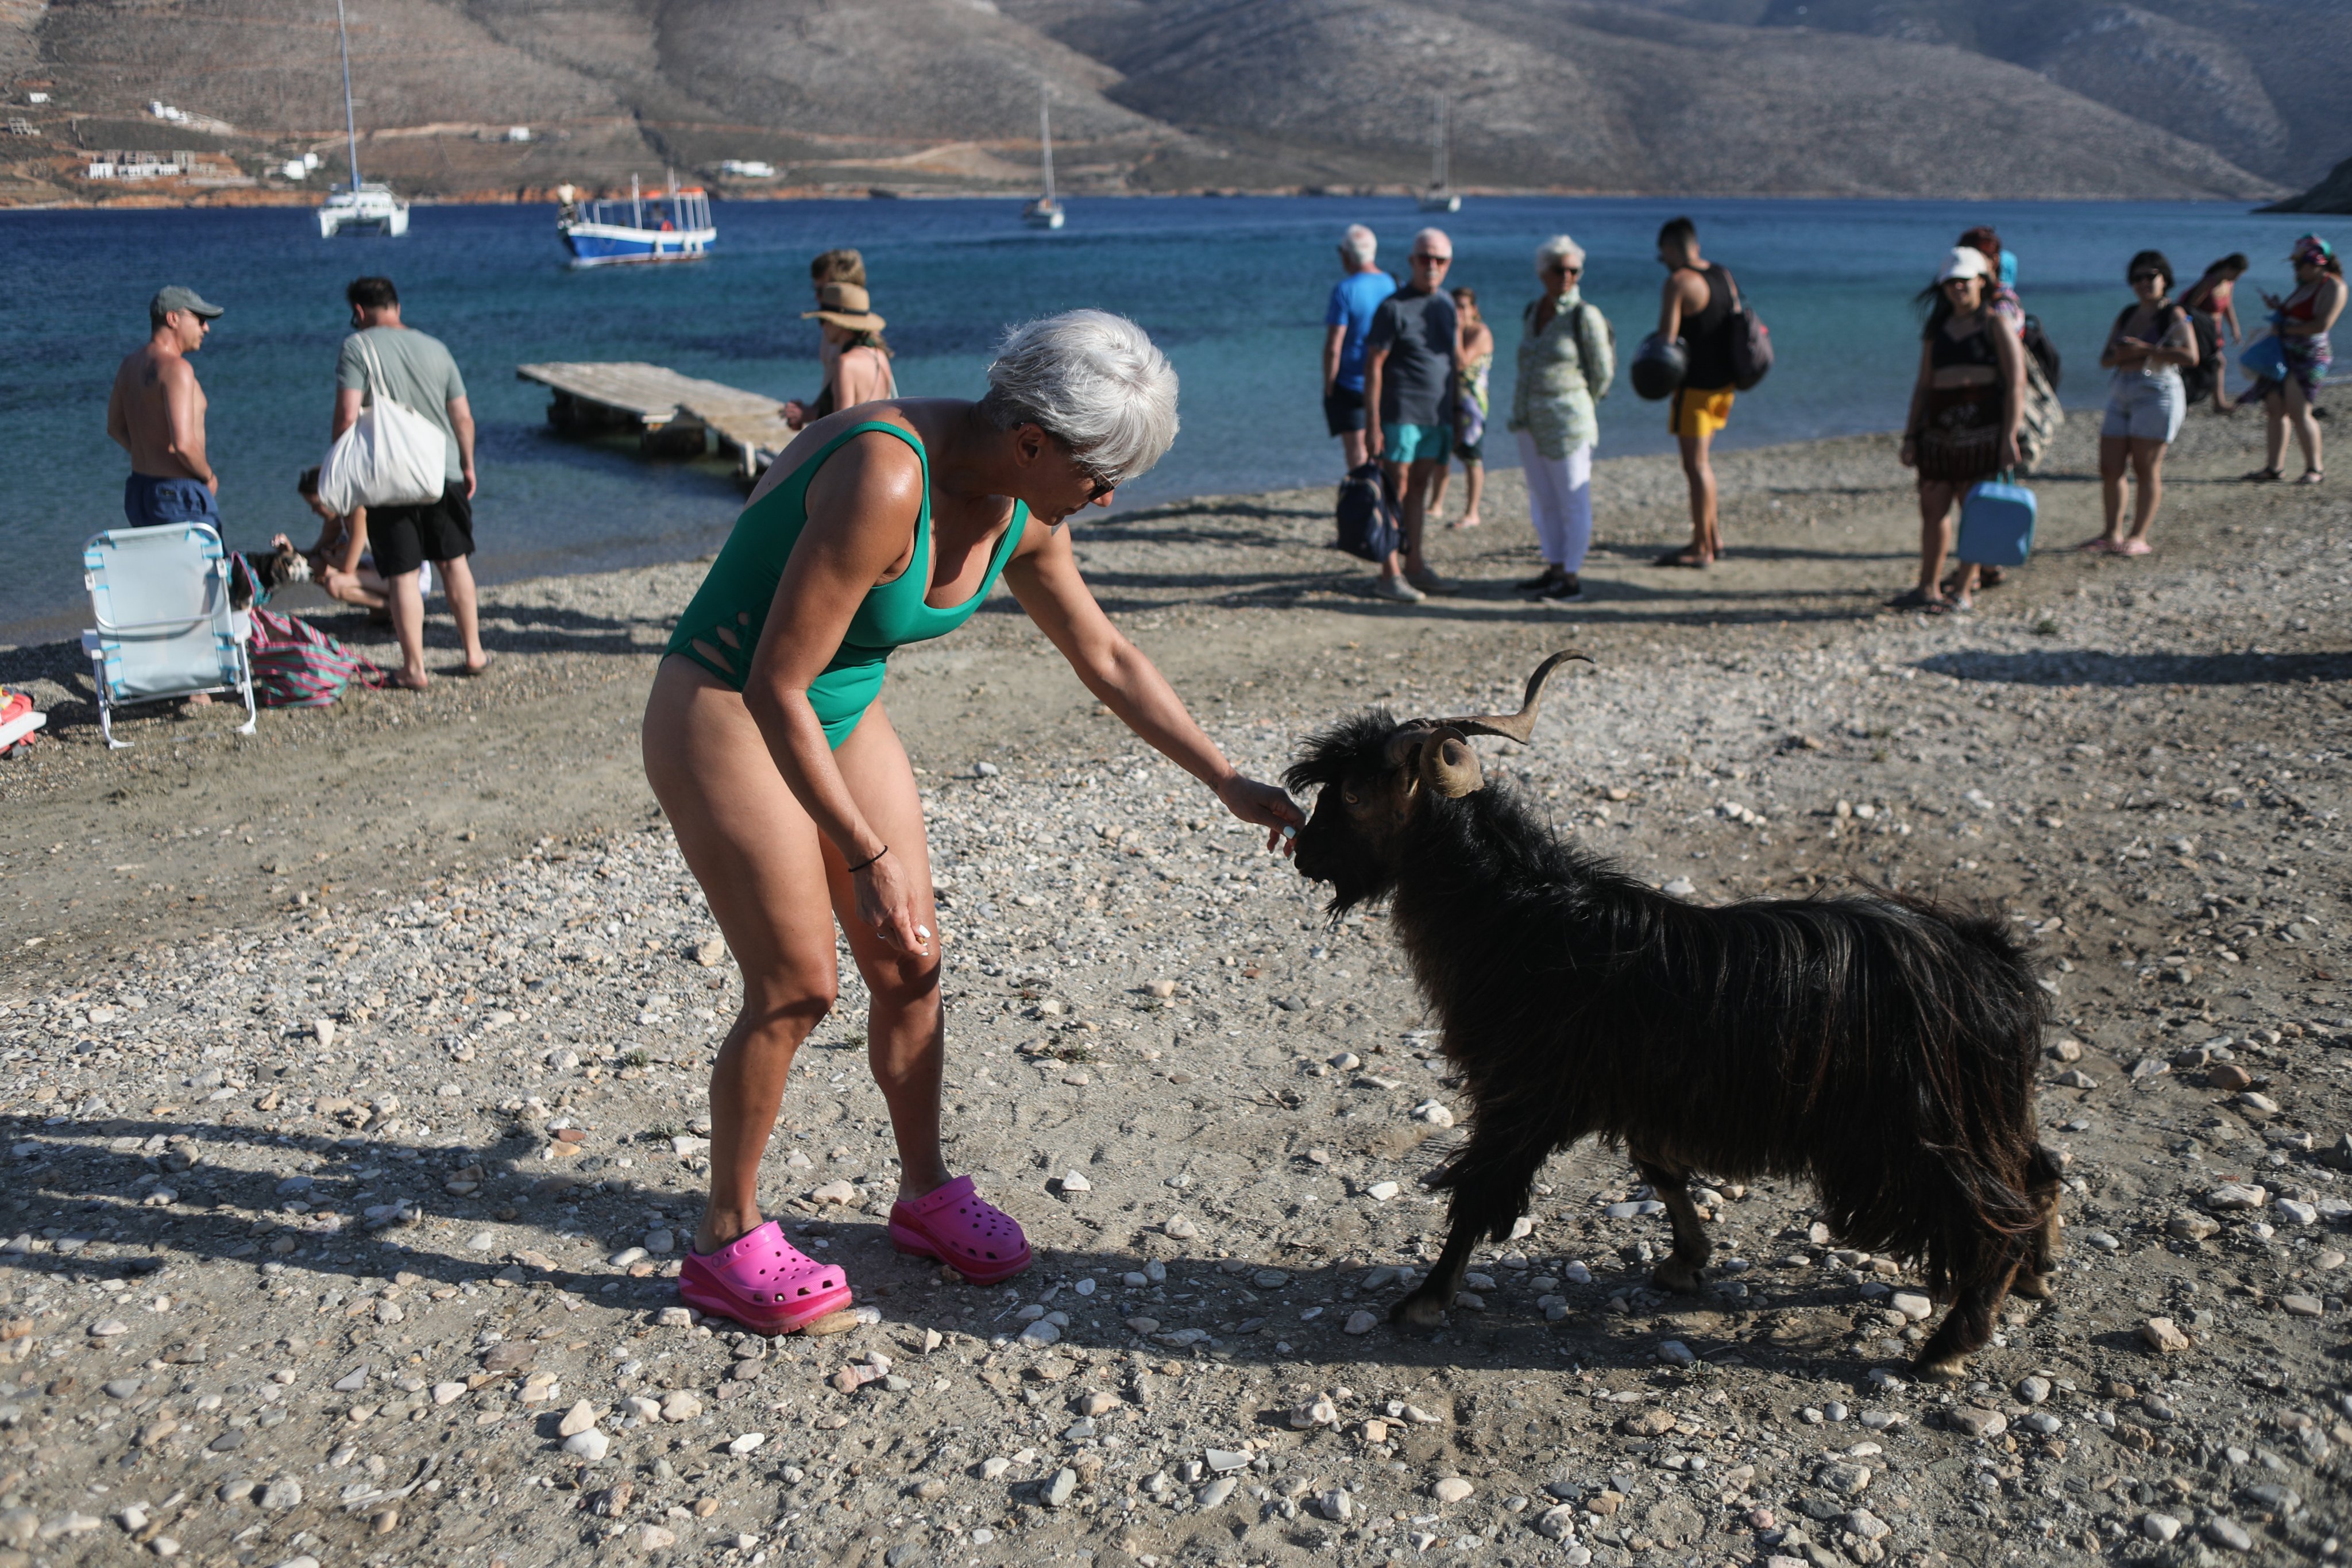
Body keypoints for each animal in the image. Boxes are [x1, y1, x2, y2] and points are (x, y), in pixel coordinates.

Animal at [1289, 648, 2060, 1373]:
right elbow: (1661, 1170)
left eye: (1353, 794)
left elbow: (1480, 1192)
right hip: (1982, 1113)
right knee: (2037, 1174)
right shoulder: (1636, 1089)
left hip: (1921, 1131)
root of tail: (1993, 961)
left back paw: (1952, 1343)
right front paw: (1685, 1261)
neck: (1522, 922)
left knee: (1994, 1214)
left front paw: (1423, 1300)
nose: (1303, 857)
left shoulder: (1525, 1093)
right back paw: (2035, 1275)